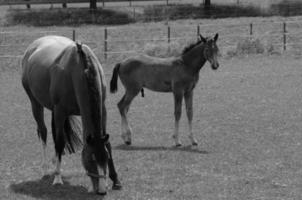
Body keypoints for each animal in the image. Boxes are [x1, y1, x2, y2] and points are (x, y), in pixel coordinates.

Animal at [21, 35, 121, 194]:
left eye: (106, 158)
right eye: (91, 159)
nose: (101, 190)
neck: (80, 69)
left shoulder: (102, 109)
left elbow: (108, 143)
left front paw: (116, 180)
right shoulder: (60, 111)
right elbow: (60, 141)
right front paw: (57, 178)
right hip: (35, 103)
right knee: (43, 131)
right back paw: (45, 170)